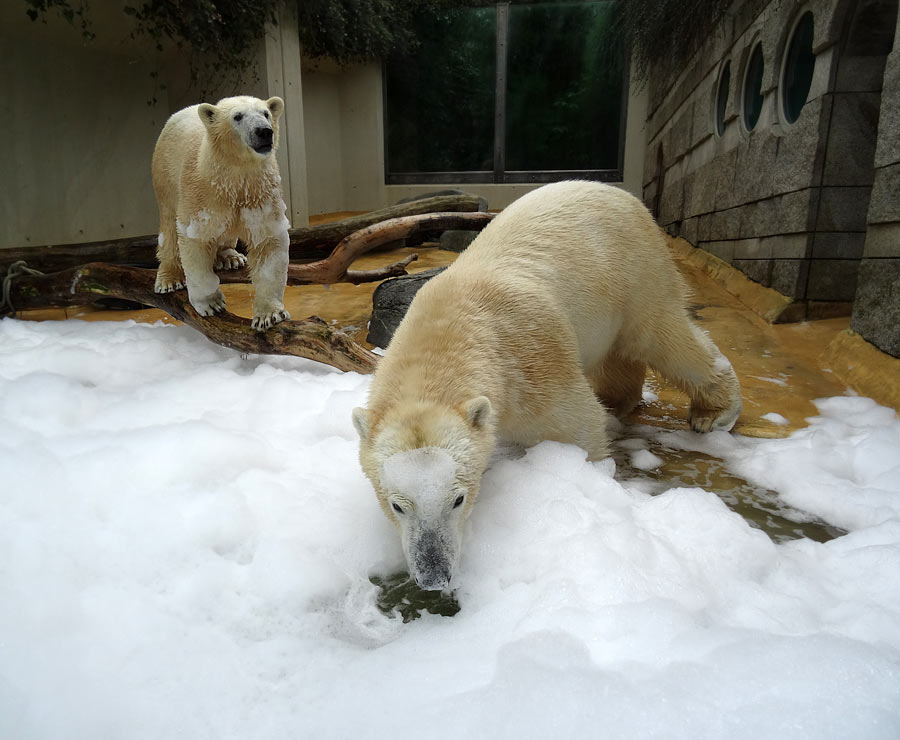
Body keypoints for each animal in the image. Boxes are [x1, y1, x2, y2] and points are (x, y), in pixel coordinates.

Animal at [153, 94, 290, 330]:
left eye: (265, 113)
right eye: (238, 116)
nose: (264, 131)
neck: (232, 176)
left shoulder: (259, 193)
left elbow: (268, 243)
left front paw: (268, 315)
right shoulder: (201, 193)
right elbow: (196, 241)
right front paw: (211, 304)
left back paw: (230, 257)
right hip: (165, 176)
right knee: (169, 226)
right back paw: (168, 278)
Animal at [356, 179, 740, 588]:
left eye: (458, 499)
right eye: (397, 504)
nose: (433, 576)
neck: (449, 326)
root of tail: (621, 195)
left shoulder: (530, 362)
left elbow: (575, 425)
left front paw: (588, 478)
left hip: (635, 269)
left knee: (663, 336)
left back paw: (715, 412)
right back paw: (616, 402)